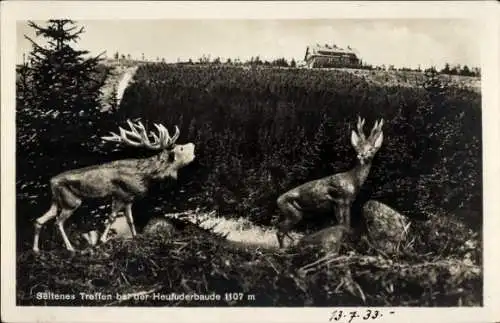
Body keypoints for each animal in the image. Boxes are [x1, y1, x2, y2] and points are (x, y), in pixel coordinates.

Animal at [32, 119, 196, 253]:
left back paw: (36, 249)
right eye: (180, 149)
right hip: (71, 201)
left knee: (40, 220)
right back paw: (70, 248)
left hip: (57, 201)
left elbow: (130, 219)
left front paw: (135, 236)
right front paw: (102, 240)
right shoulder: (119, 194)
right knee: (58, 222)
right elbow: (111, 217)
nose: (192, 144)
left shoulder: (130, 198)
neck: (145, 175)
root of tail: (51, 182)